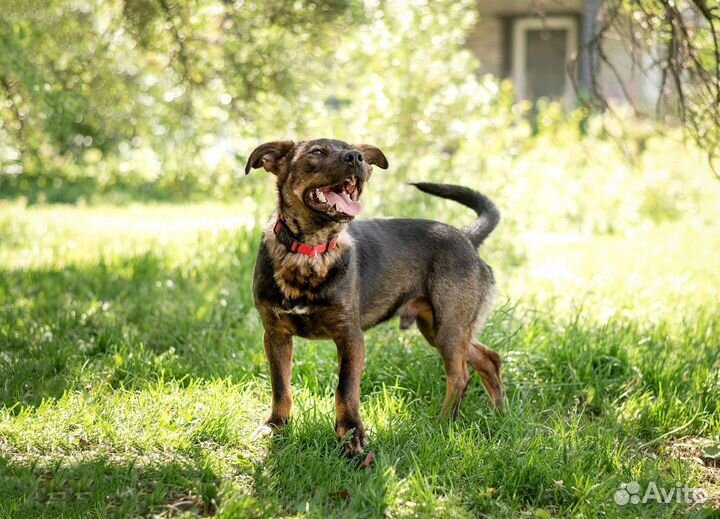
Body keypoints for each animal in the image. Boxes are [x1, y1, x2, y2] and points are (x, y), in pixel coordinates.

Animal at [245, 138, 504, 456]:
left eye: (354, 150)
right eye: (317, 151)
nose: (357, 157)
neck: (311, 252)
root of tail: (466, 237)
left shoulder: (350, 337)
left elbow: (345, 390)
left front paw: (351, 439)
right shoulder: (276, 335)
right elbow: (281, 387)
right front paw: (275, 427)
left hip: (449, 327)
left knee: (460, 376)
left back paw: (443, 425)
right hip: (439, 327)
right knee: (489, 358)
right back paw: (499, 414)